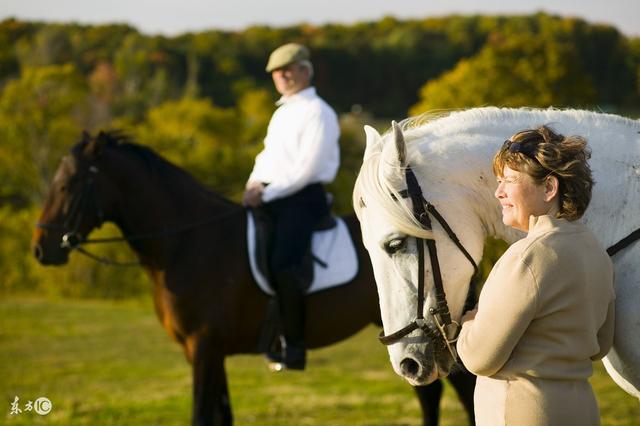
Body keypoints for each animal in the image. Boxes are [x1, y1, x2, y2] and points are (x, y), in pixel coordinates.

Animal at [30, 131, 476, 426]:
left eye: (68, 184)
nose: (41, 249)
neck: (186, 243)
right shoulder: (206, 352)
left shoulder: (204, 347)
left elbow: (201, 416)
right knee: (430, 392)